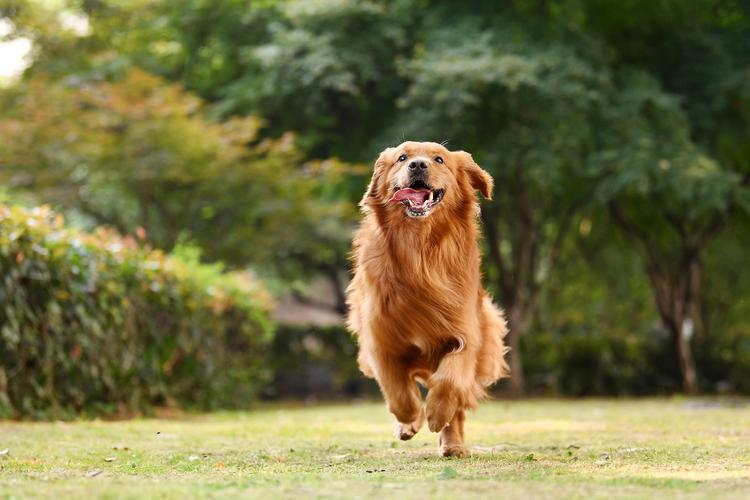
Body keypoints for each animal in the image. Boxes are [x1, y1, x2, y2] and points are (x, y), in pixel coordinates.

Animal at [348, 141, 512, 458]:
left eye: (439, 159)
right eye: (402, 157)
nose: (418, 165)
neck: (419, 250)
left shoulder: (465, 334)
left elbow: (451, 380)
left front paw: (436, 412)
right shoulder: (380, 340)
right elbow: (397, 392)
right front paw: (411, 419)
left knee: (458, 402)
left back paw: (453, 443)